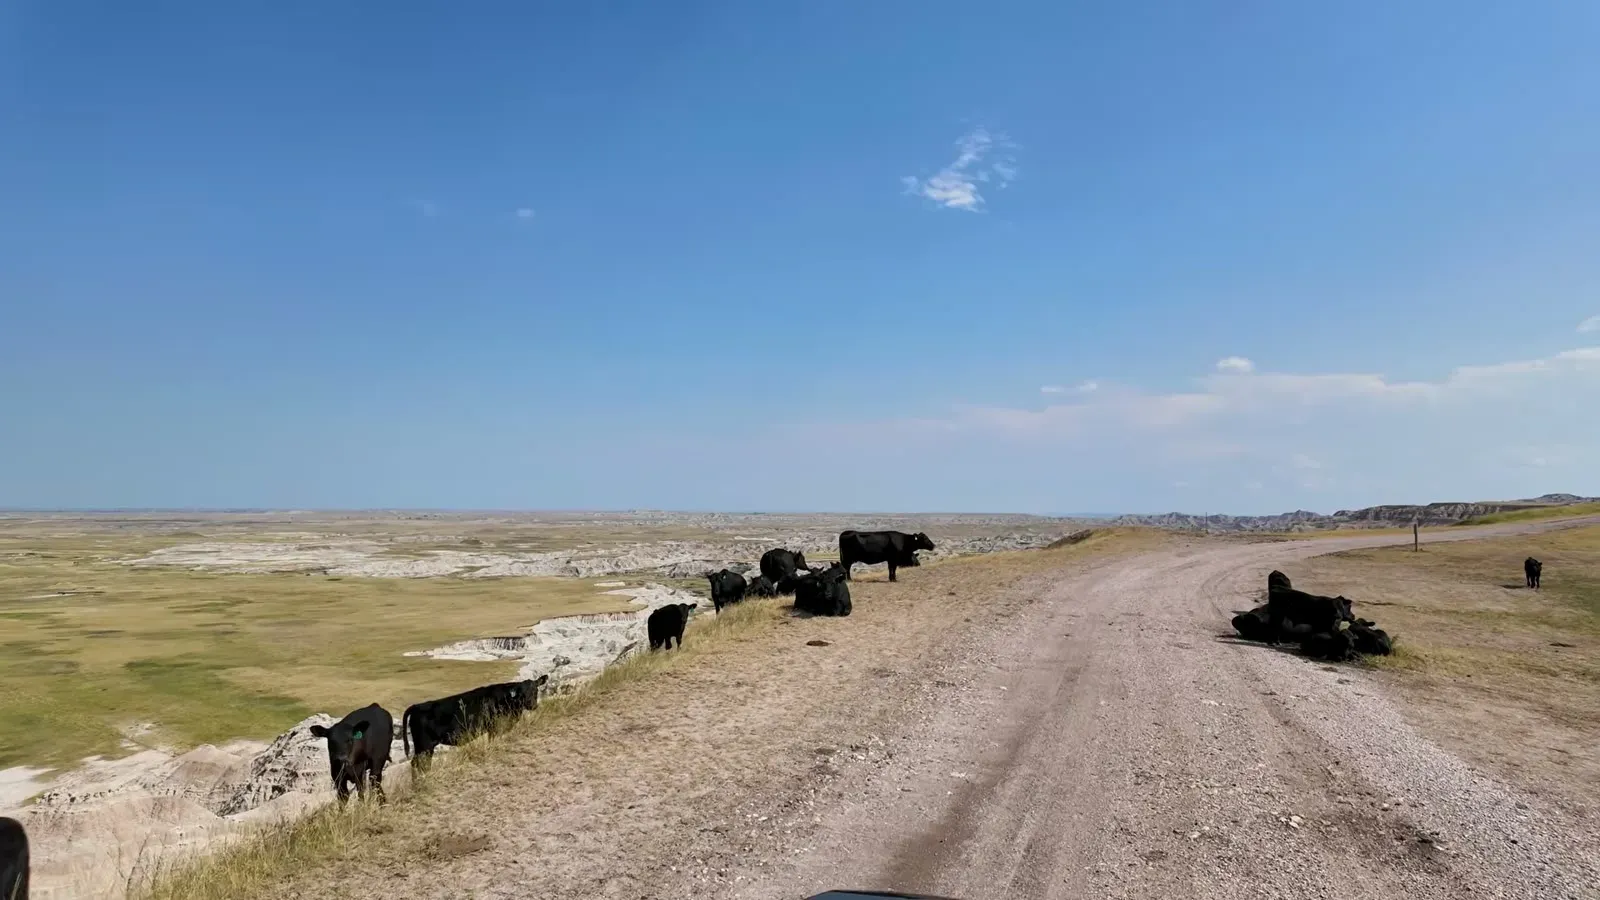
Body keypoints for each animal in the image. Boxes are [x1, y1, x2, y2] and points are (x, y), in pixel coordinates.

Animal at [402, 675, 549, 762]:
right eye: (521, 693)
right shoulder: (495, 728)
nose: (532, 705)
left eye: (535, 690)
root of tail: (417, 706)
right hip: (424, 745)